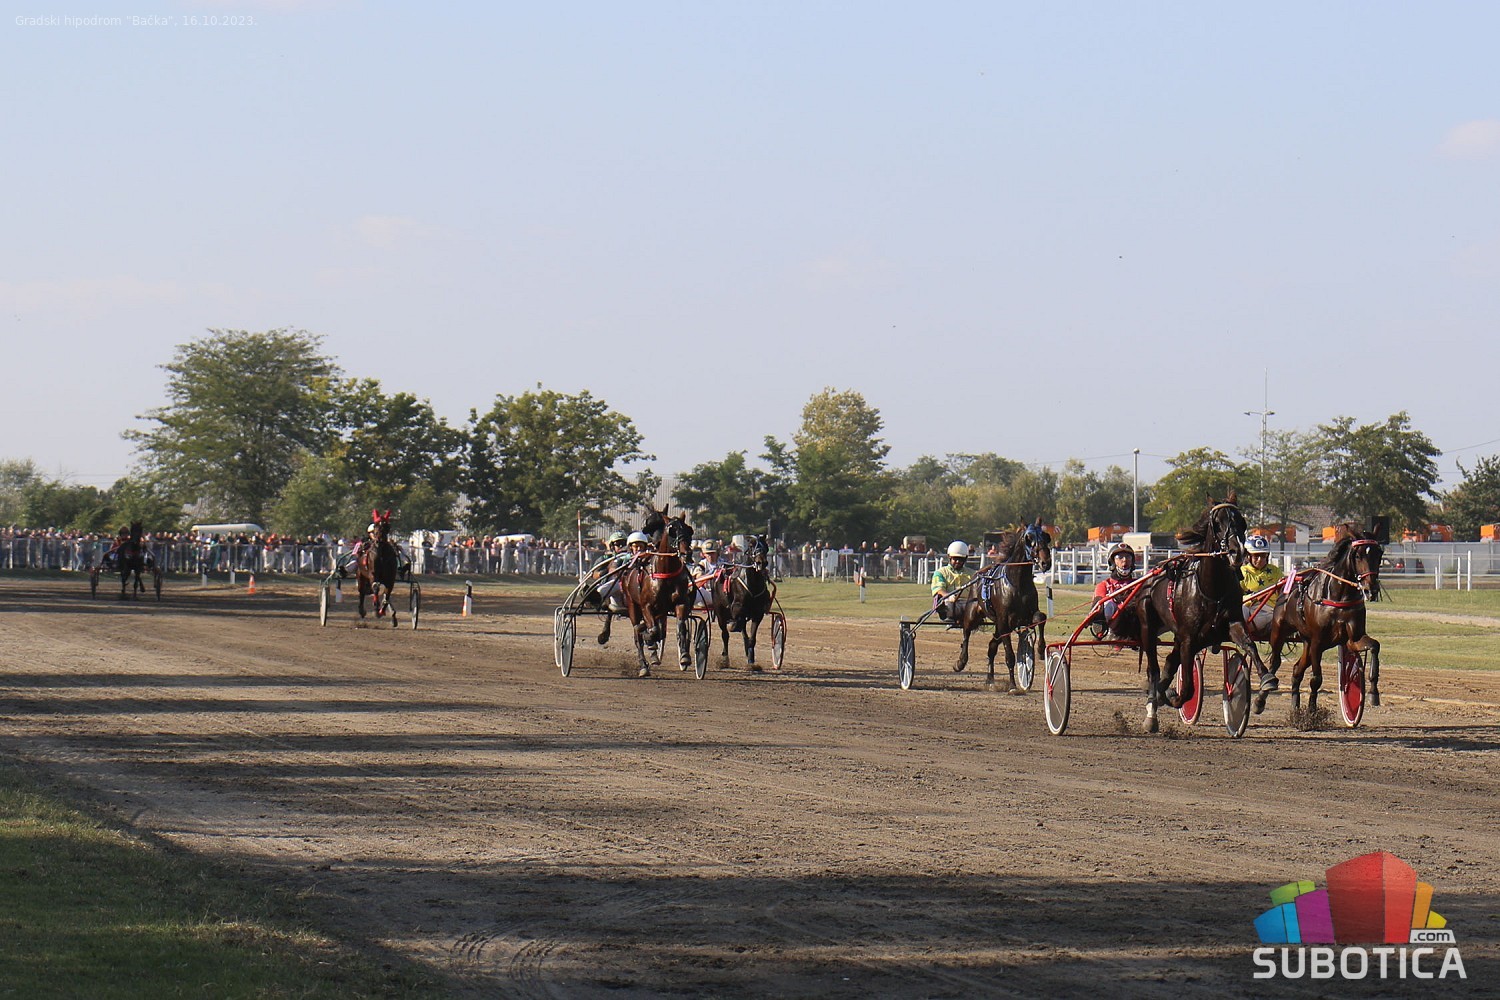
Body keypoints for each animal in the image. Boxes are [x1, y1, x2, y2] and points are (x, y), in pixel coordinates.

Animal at [620, 506, 695, 677]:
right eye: (672, 530)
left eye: (689, 530)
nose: (686, 553)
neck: (665, 572)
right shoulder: (646, 606)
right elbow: (652, 631)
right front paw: (649, 639)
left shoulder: (680, 602)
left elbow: (680, 626)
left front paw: (685, 656)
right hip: (633, 605)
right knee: (637, 634)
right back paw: (643, 665)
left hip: (660, 610)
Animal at [708, 534, 775, 671]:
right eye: (751, 545)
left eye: (766, 546)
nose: (761, 562)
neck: (753, 584)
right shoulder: (737, 608)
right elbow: (737, 620)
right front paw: (734, 626)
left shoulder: (758, 614)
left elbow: (751, 638)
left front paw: (751, 661)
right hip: (719, 611)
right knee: (725, 635)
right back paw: (725, 659)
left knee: (743, 632)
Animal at [953, 519, 1052, 690]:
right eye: (1028, 538)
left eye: (1046, 537)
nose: (1045, 562)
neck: (1017, 583)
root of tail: (979, 573)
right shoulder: (1005, 622)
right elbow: (1010, 656)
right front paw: (1012, 685)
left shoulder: (1026, 615)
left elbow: (1040, 617)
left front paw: (1040, 648)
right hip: (974, 614)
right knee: (966, 632)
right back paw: (961, 662)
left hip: (998, 626)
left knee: (991, 646)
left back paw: (990, 678)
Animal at [1128, 493, 1267, 733]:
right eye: (1217, 523)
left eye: (1242, 522)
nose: (1236, 552)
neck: (1212, 589)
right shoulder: (1189, 638)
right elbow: (1188, 688)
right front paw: (1173, 697)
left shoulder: (1231, 624)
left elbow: (1250, 646)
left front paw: (1266, 683)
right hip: (1148, 628)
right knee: (1154, 669)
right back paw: (1152, 712)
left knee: (1169, 662)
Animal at [1257, 524, 1383, 717]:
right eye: (1358, 555)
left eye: (1379, 553)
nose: (1371, 589)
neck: (1339, 597)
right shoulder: (1317, 640)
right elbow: (1316, 679)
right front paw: (1312, 711)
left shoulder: (1351, 639)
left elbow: (1375, 646)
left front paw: (1373, 693)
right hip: (1279, 631)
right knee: (1274, 663)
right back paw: (1261, 699)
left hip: (1307, 642)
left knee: (1297, 670)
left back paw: (1295, 706)